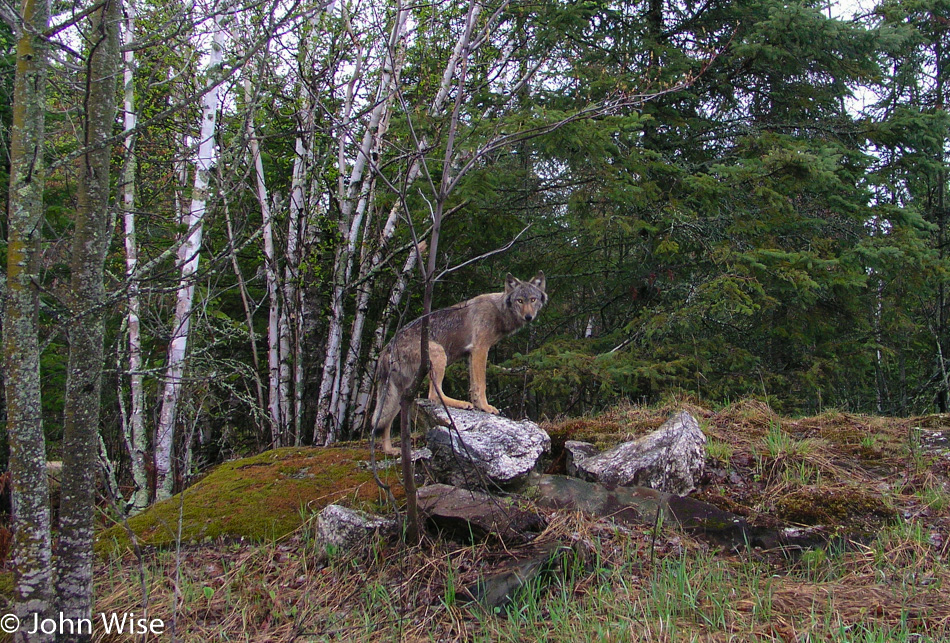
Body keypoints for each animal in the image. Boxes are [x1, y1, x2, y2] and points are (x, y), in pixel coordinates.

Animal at [374, 270, 552, 456]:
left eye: (533, 299)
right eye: (520, 300)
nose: (528, 317)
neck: (498, 310)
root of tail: (386, 349)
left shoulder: (471, 355)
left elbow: (474, 385)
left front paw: (479, 406)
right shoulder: (480, 349)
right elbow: (481, 384)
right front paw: (485, 407)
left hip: (401, 391)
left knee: (384, 421)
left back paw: (390, 450)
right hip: (439, 356)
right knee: (433, 395)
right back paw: (462, 404)